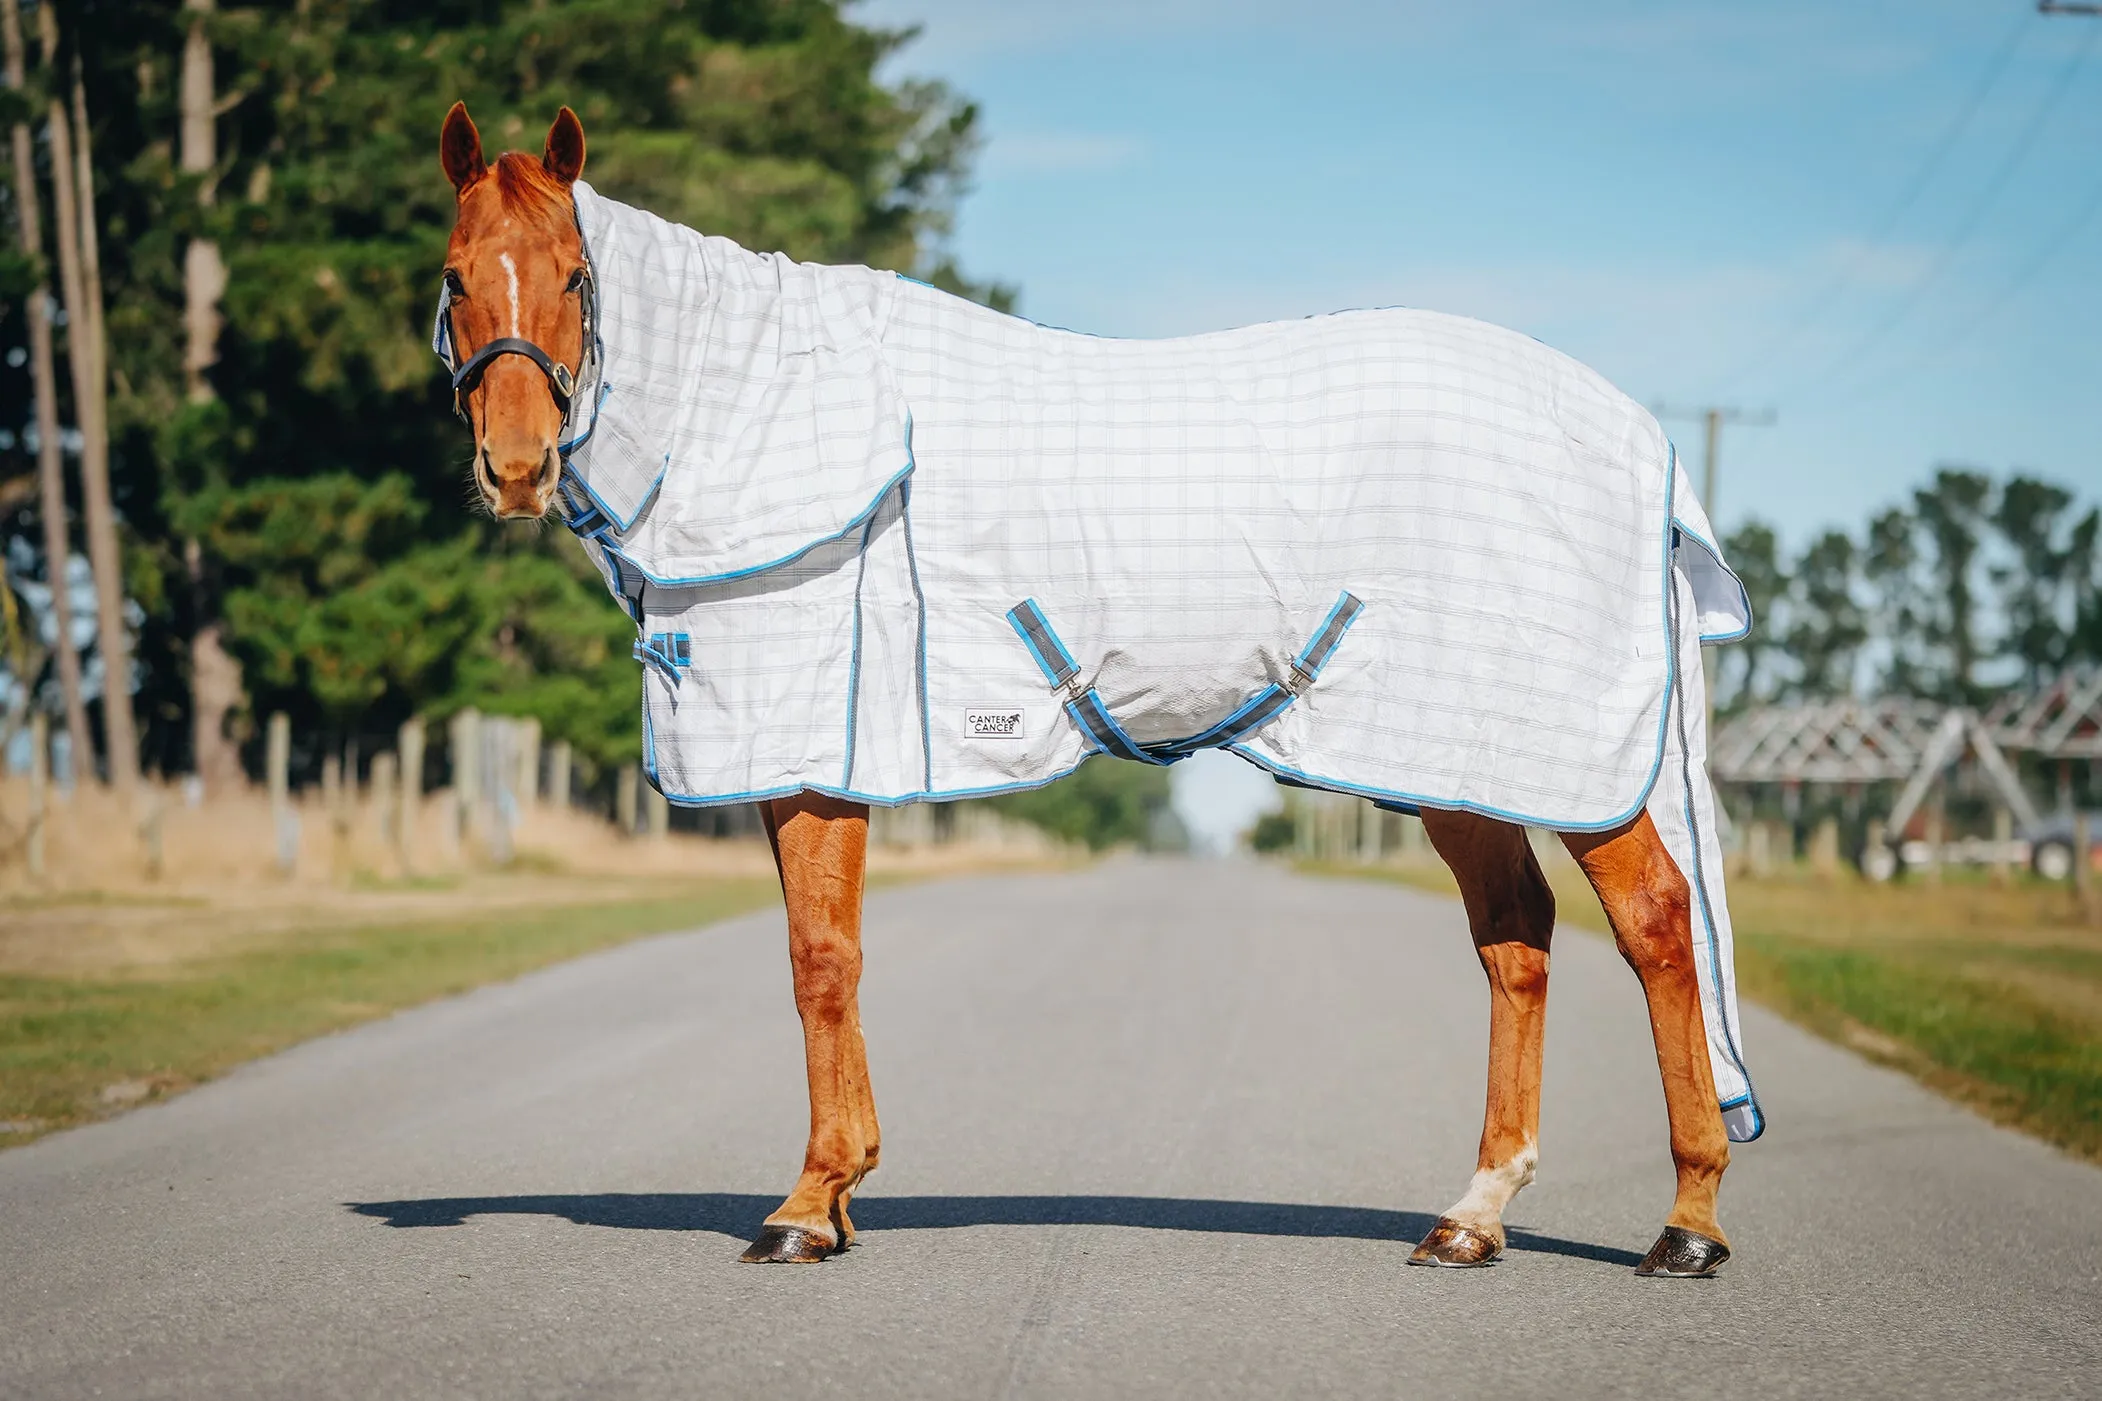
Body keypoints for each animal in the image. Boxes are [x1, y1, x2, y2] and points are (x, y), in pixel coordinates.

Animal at [435, 103, 1732, 1277]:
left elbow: (819, 961)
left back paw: (1687, 1224)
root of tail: (1640, 441)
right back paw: (1473, 1215)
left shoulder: (810, 758)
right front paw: (838, 1195)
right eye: (454, 281)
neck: (761, 411)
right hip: (1450, 761)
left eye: (572, 276)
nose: (516, 467)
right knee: (1516, 939)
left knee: (1655, 922)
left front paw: (806, 1208)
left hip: (1558, 762)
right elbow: (826, 955)